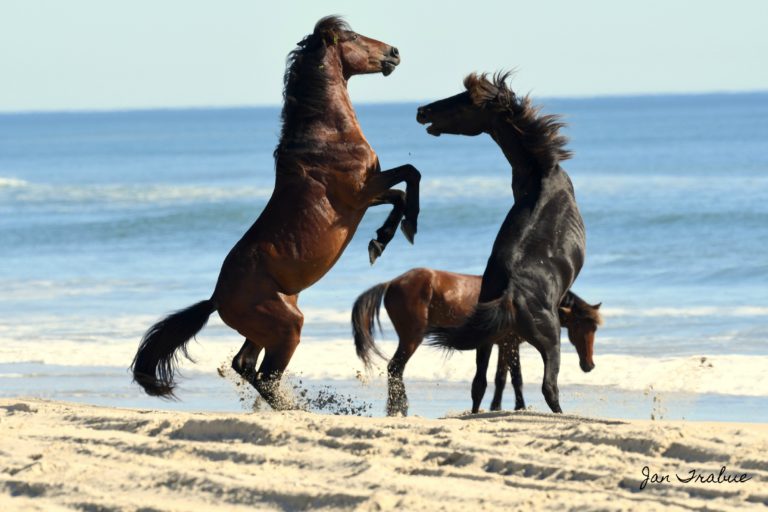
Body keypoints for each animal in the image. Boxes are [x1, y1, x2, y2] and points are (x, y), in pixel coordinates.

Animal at [132, 17, 420, 408]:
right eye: (353, 37)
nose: (394, 52)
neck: (325, 135)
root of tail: (216, 299)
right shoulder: (360, 192)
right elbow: (411, 175)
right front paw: (399, 233)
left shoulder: (367, 196)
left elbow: (401, 193)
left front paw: (381, 241)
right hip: (287, 327)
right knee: (265, 375)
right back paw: (297, 410)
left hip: (266, 329)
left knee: (245, 365)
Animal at [350, 268, 600, 416]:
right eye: (582, 326)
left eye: (594, 328)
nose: (589, 365)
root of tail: (391, 282)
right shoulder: (510, 344)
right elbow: (515, 378)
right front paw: (519, 407)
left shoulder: (503, 344)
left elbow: (501, 378)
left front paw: (496, 407)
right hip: (411, 338)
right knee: (395, 368)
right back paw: (399, 407)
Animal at [416, 72, 584, 414]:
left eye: (461, 103)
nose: (422, 112)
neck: (540, 175)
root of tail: (510, 295)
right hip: (548, 342)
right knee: (549, 387)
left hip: (489, 339)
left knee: (478, 384)